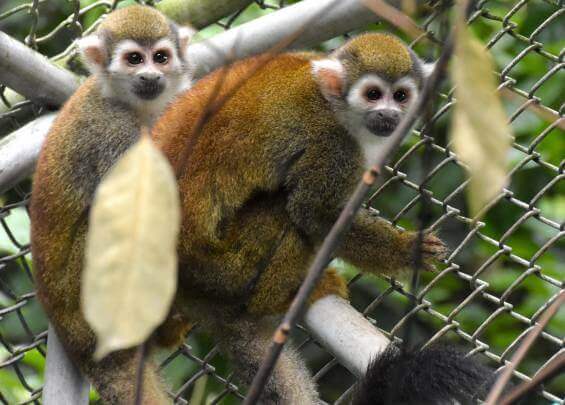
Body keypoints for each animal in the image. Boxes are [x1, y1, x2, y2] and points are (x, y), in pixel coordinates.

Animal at [149, 33, 490, 402]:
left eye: (401, 95)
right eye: (373, 94)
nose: (389, 113)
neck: (334, 104)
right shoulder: (332, 142)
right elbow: (317, 216)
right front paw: (406, 250)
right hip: (224, 269)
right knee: (284, 214)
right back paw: (275, 300)